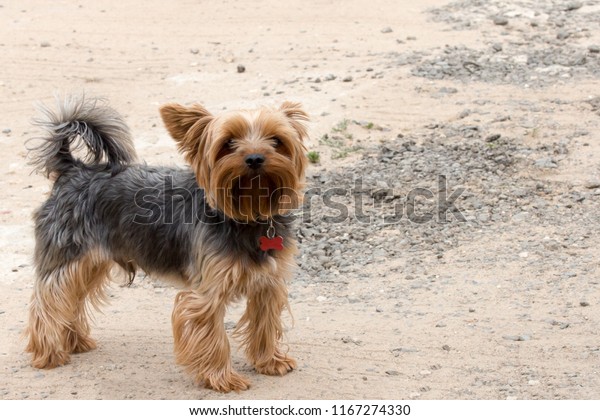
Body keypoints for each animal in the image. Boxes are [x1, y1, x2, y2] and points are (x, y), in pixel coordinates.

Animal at [25, 94, 308, 390]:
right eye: (228, 143)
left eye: (276, 140)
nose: (254, 158)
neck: (249, 213)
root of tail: (73, 170)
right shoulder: (206, 291)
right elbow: (213, 336)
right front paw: (221, 378)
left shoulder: (268, 284)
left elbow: (265, 324)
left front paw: (270, 362)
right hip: (67, 256)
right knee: (48, 301)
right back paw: (48, 354)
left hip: (91, 263)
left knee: (72, 299)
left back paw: (75, 342)